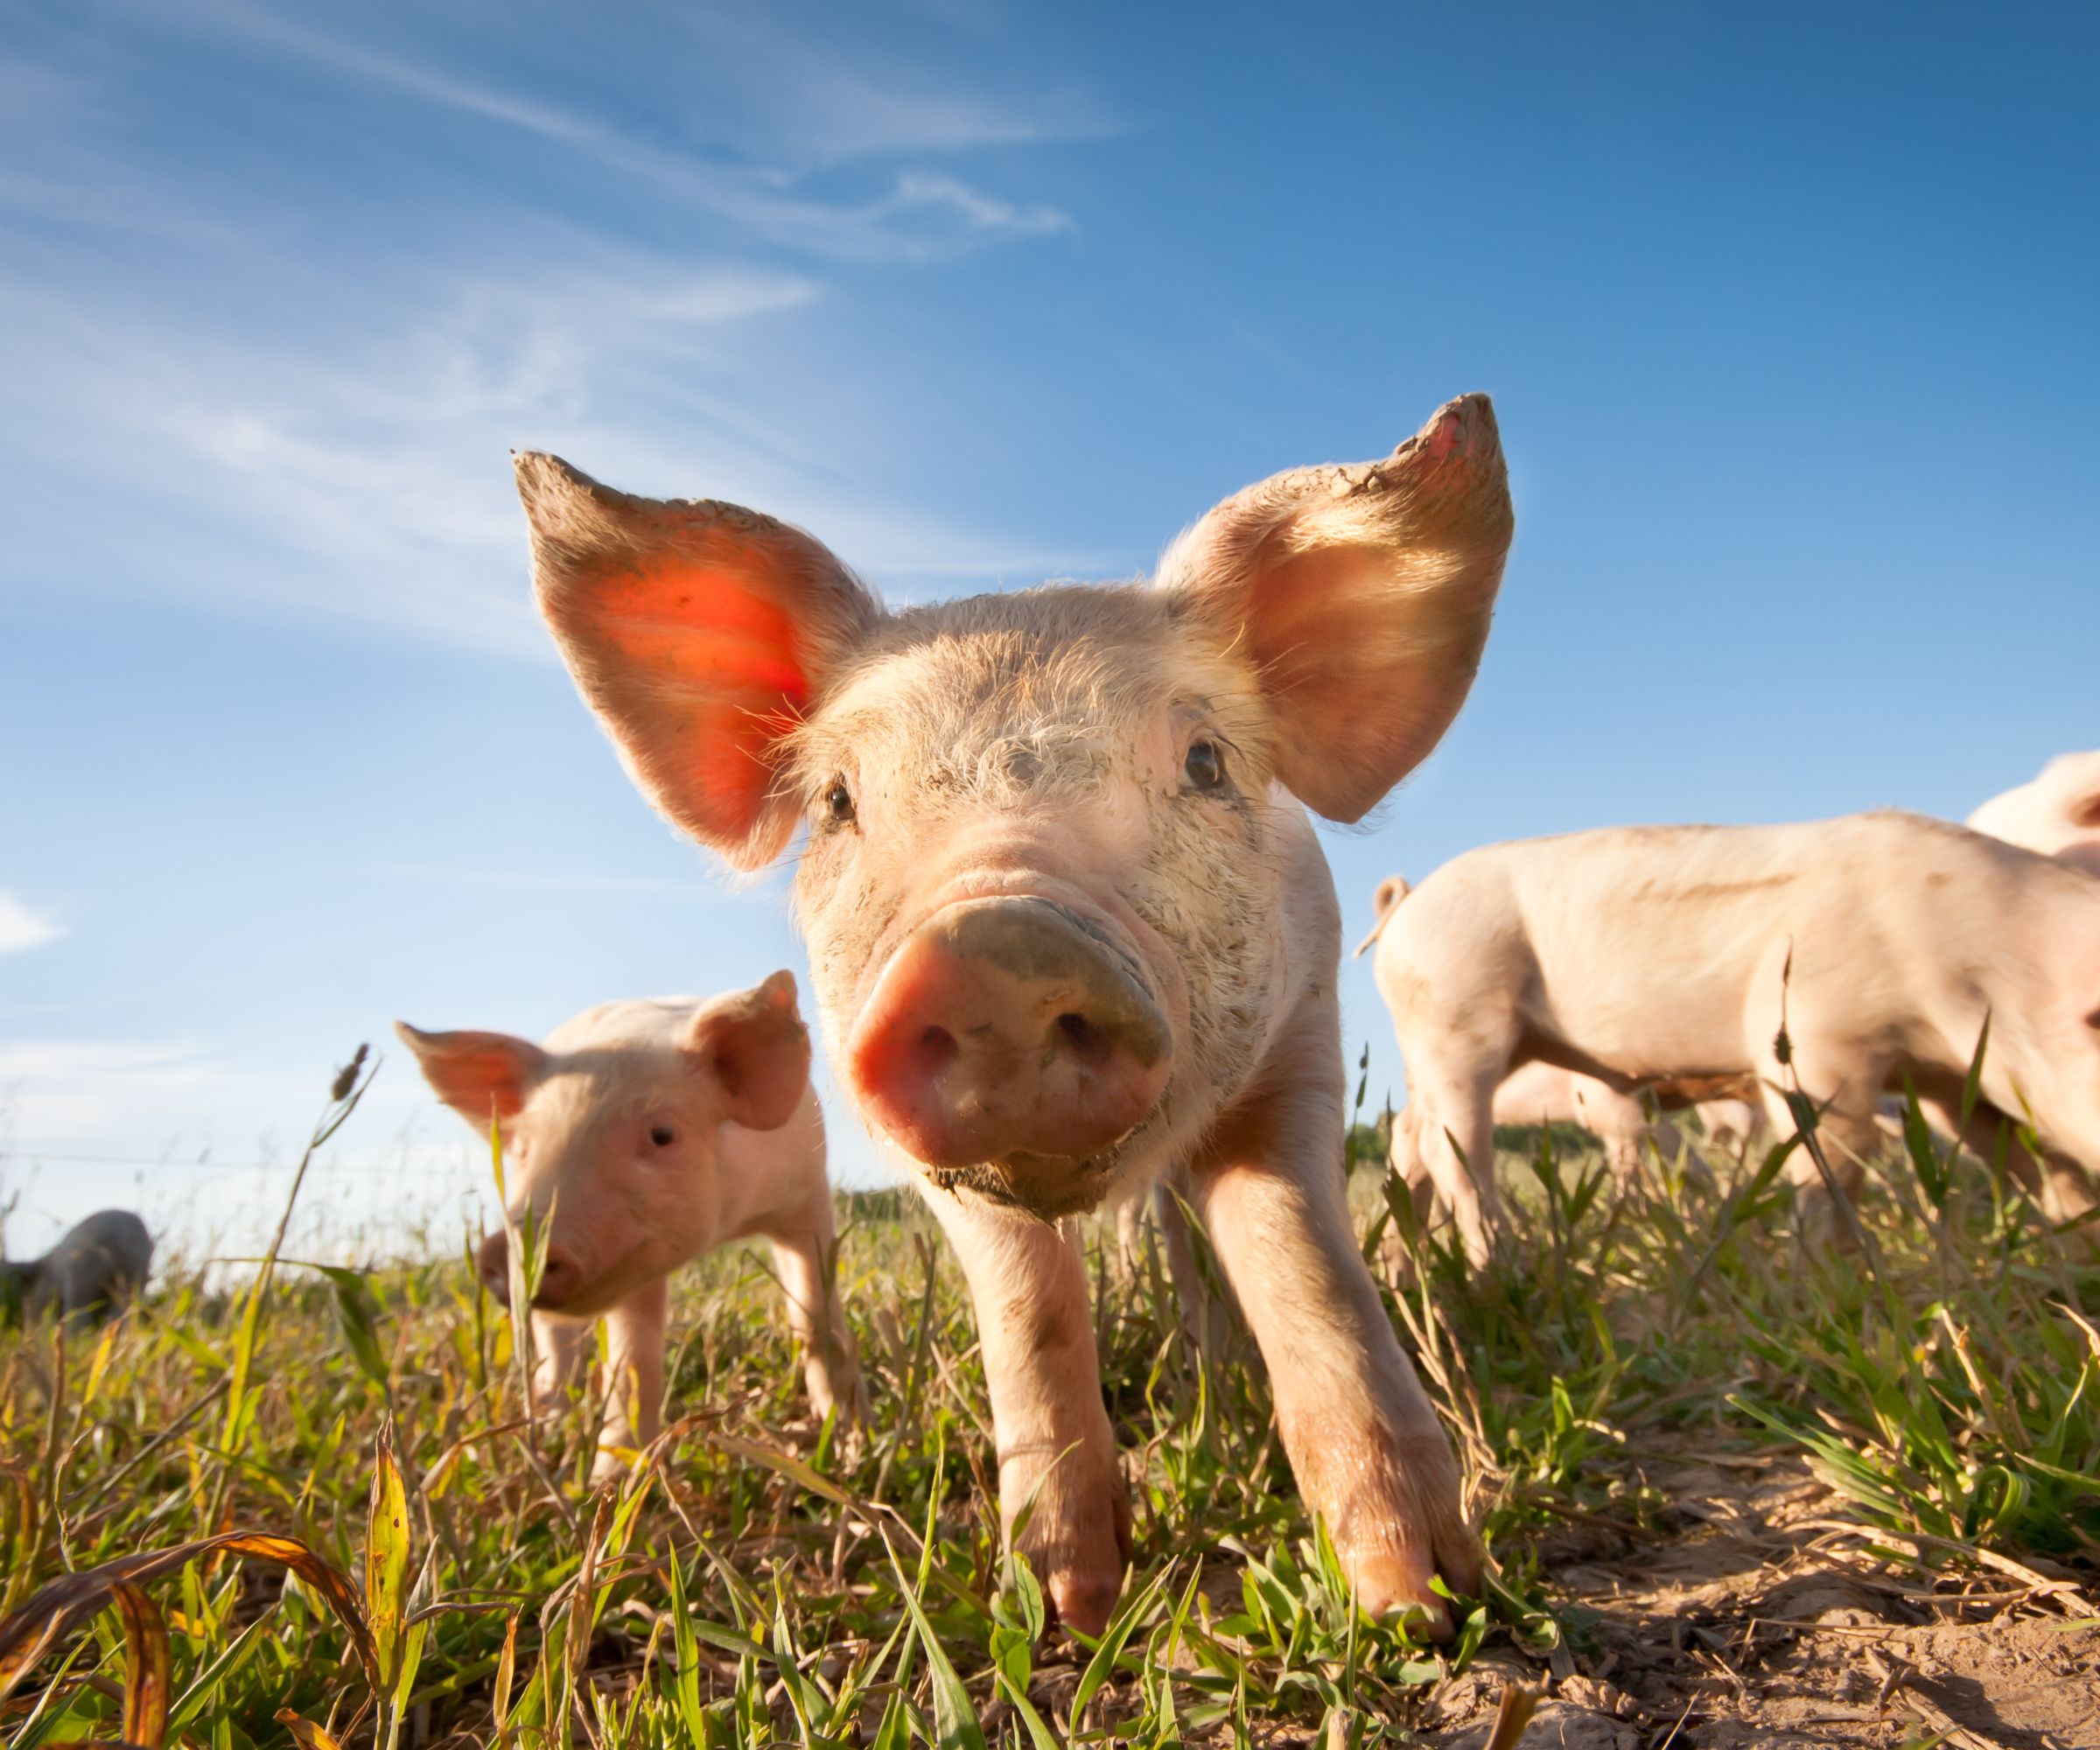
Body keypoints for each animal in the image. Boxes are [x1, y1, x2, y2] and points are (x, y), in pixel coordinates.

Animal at [396, 972, 864, 1479]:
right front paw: (611, 1479)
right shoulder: (634, 1263)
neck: (729, 1223)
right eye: (522, 1149)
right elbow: (633, 1359)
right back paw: (549, 1420)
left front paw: (849, 1439)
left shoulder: (806, 1195)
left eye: (662, 1135)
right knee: (555, 1344)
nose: (514, 1245)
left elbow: (816, 1315)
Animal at [515, 392, 1515, 1635]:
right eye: (837, 800)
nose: (992, 948)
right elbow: (1028, 1307)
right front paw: (1064, 1603)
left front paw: (1424, 1600)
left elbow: (1302, 1259)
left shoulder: (1303, 1039)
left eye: (1205, 759)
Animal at [1364, 811, 2100, 1266]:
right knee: (1454, 1147)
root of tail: (1409, 902)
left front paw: (2077, 1240)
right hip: (1456, 1011)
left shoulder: (1954, 1083)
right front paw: (1828, 1272)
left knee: (1410, 1142)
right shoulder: (1807, 1031)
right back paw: (1499, 1265)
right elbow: (1836, 1154)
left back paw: (1406, 1267)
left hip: (1433, 1045)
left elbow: (2027, 1158)